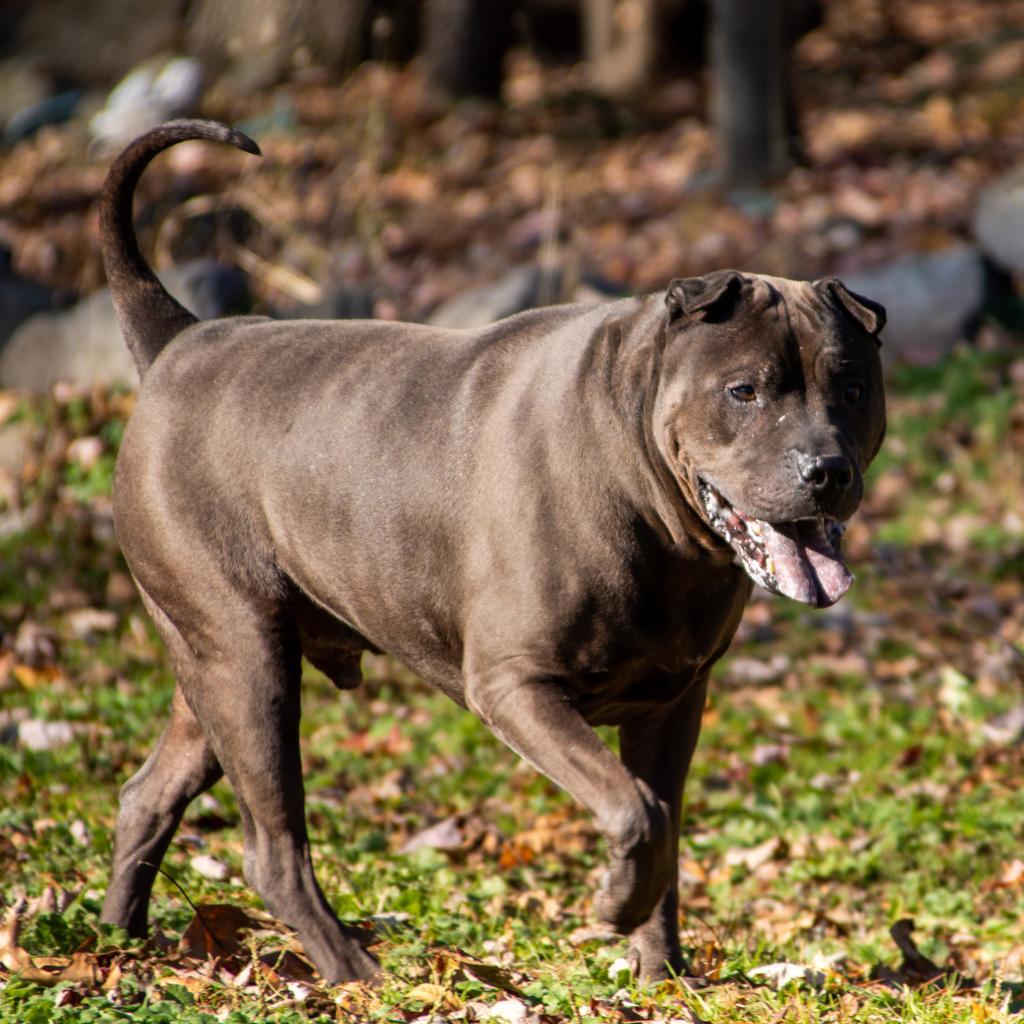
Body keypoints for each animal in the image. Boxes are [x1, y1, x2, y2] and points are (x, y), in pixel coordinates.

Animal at [97, 119, 888, 983]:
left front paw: (658, 970)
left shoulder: (673, 703)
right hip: (248, 663)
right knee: (274, 851)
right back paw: (354, 973)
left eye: (851, 389)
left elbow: (665, 825)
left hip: (216, 671)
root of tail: (180, 338)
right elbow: (637, 811)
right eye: (744, 390)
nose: (827, 470)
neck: (642, 478)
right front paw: (617, 904)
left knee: (146, 795)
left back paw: (116, 943)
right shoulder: (517, 686)